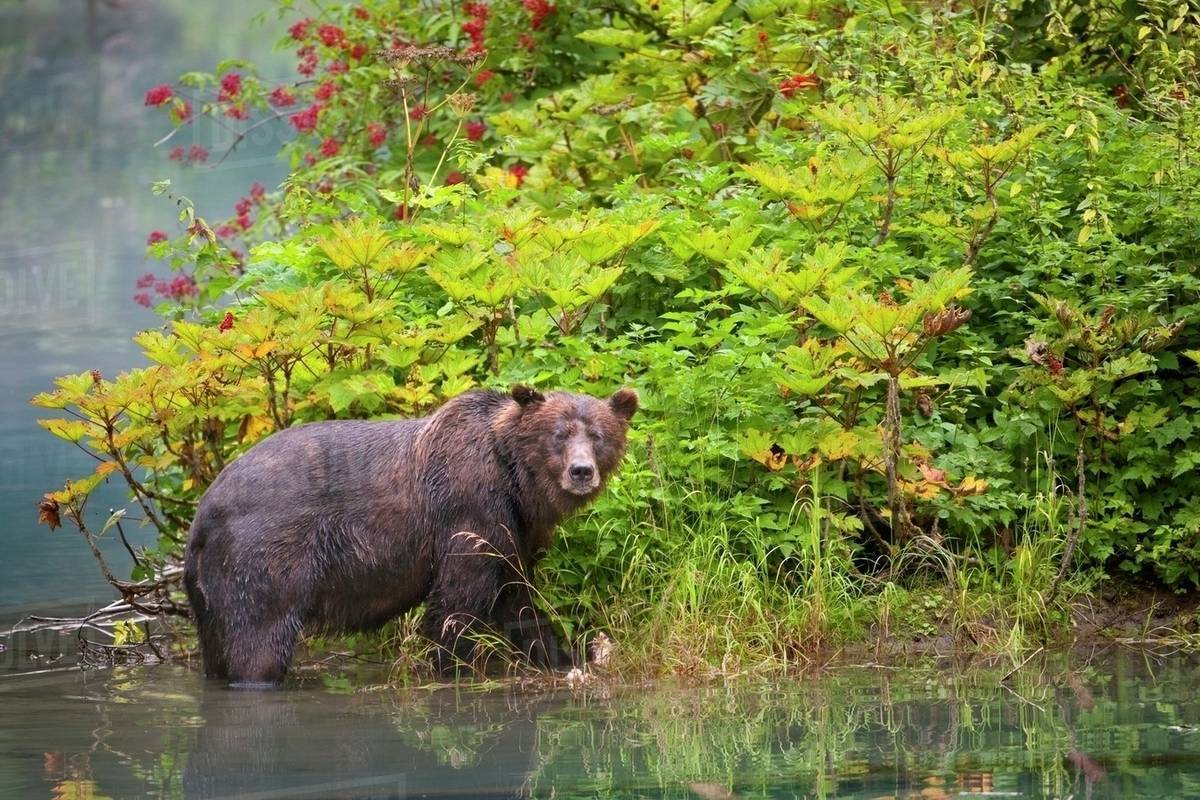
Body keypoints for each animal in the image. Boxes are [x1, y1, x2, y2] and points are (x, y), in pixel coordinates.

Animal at [182, 384, 637, 686]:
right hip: (267, 554)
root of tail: (203, 511)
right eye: (558, 434)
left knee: (217, 647)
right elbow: (457, 603)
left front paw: (564, 654)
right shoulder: (468, 509)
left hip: (209, 592)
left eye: (598, 436)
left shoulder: (515, 534)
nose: (581, 471)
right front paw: (455, 666)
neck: (514, 480)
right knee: (259, 641)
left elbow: (519, 601)